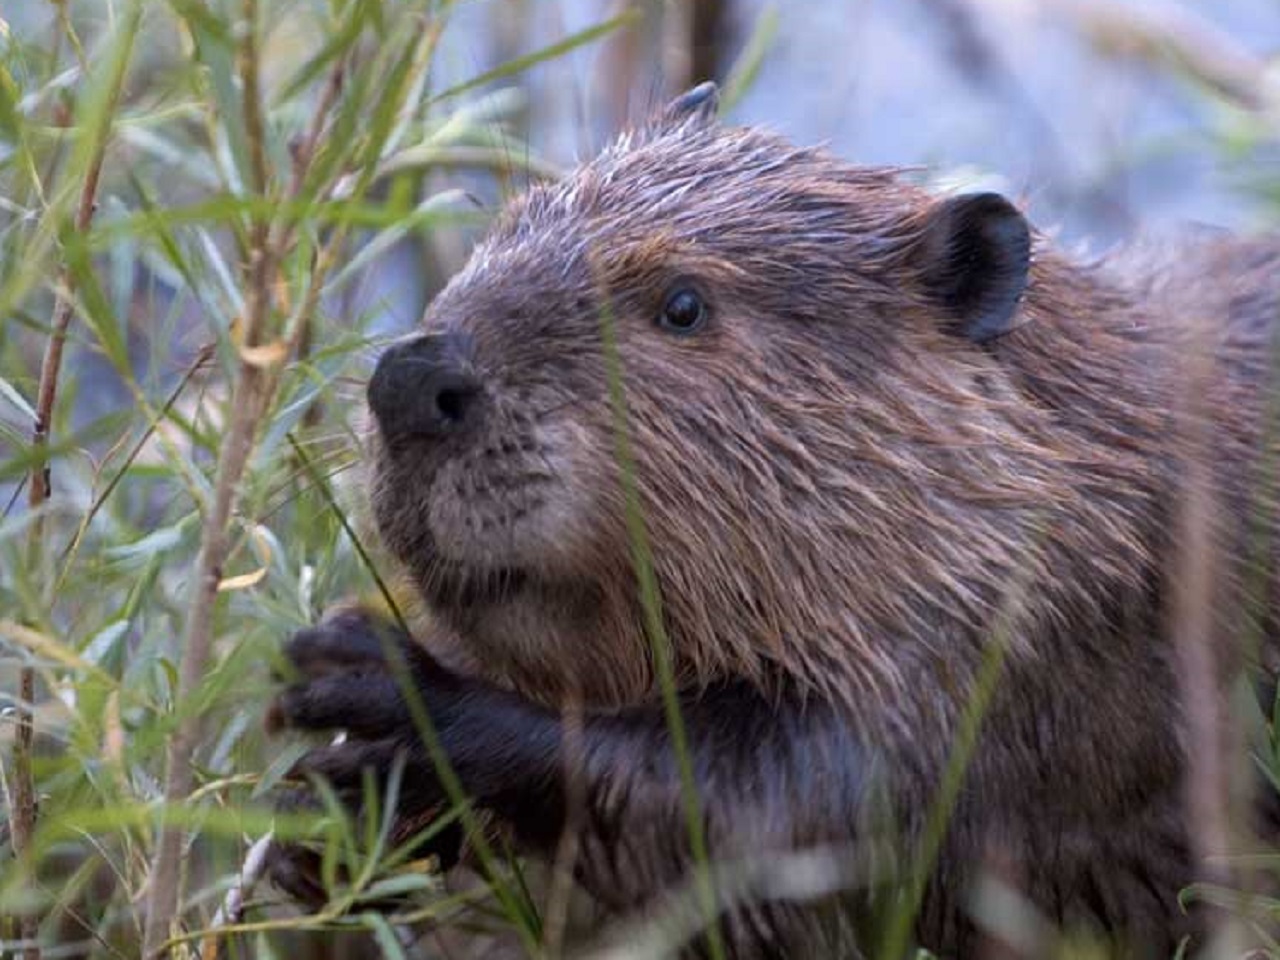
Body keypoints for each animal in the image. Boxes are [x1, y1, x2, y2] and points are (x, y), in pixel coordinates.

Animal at [264, 86, 1280, 957]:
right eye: (506, 225)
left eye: (682, 304)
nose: (412, 379)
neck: (1096, 455)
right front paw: (320, 830)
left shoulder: (1026, 652)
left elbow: (752, 817)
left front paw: (379, 695)